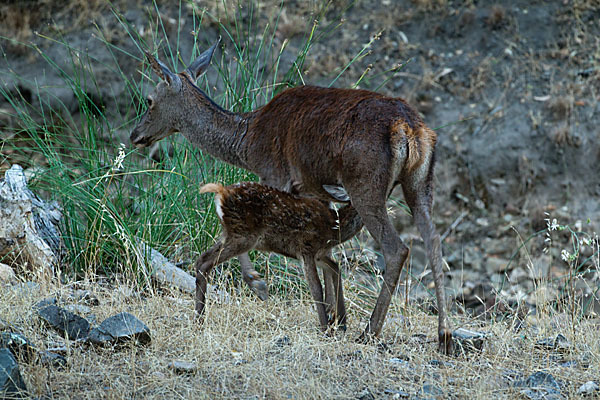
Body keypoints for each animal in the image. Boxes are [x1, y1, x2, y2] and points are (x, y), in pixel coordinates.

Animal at [130, 41, 450, 354]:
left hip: (365, 183)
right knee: (433, 239)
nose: (135, 135)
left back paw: (370, 331)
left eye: (149, 100)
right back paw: (443, 335)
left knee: (397, 248)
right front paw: (336, 317)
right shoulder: (314, 190)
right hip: (420, 182)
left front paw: (258, 283)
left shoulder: (275, 174)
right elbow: (328, 247)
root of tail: (409, 127)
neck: (246, 143)